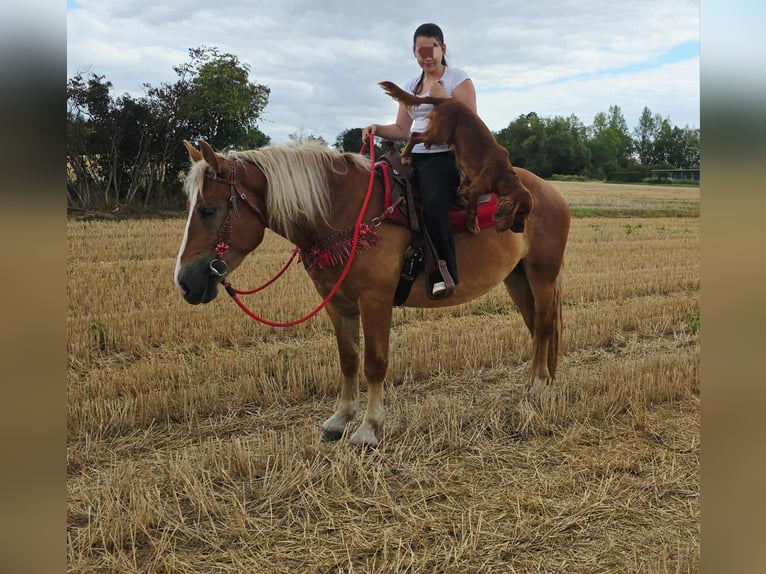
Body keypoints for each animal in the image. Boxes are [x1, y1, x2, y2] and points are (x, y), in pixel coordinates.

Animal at [174, 140, 570, 447]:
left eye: (208, 210)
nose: (185, 282)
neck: (342, 212)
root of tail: (550, 192)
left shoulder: (375, 300)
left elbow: (374, 362)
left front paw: (369, 428)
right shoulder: (337, 303)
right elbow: (348, 359)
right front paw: (340, 418)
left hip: (542, 276)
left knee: (544, 325)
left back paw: (538, 388)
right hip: (517, 278)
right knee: (536, 328)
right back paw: (538, 382)